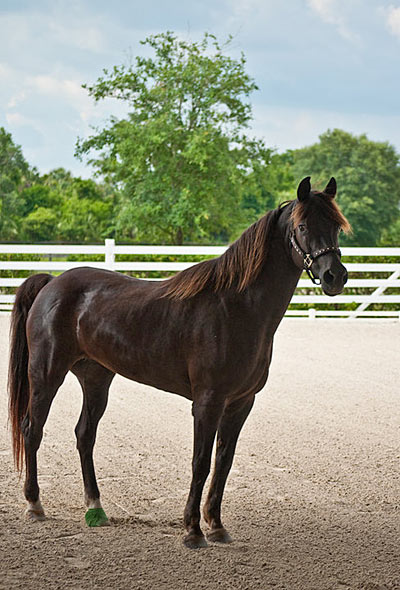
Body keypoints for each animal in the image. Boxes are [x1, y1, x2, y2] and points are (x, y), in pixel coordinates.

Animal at [7, 176, 350, 552]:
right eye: (302, 226)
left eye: (336, 226)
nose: (334, 276)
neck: (236, 307)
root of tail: (52, 282)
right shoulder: (207, 402)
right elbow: (200, 463)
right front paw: (193, 531)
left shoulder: (241, 403)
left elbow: (223, 462)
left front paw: (216, 526)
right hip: (46, 374)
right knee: (32, 429)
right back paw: (34, 504)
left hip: (96, 378)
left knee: (85, 435)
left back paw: (95, 508)